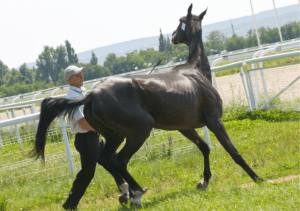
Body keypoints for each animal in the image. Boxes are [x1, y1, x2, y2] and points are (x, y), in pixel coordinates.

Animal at [32, 3, 262, 206]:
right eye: (180, 21)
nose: (173, 36)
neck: (195, 71)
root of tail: (91, 95)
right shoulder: (215, 121)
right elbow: (233, 152)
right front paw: (257, 178)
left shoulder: (185, 127)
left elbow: (205, 147)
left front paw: (204, 181)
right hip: (140, 130)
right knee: (118, 160)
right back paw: (137, 193)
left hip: (115, 136)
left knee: (105, 159)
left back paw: (128, 192)